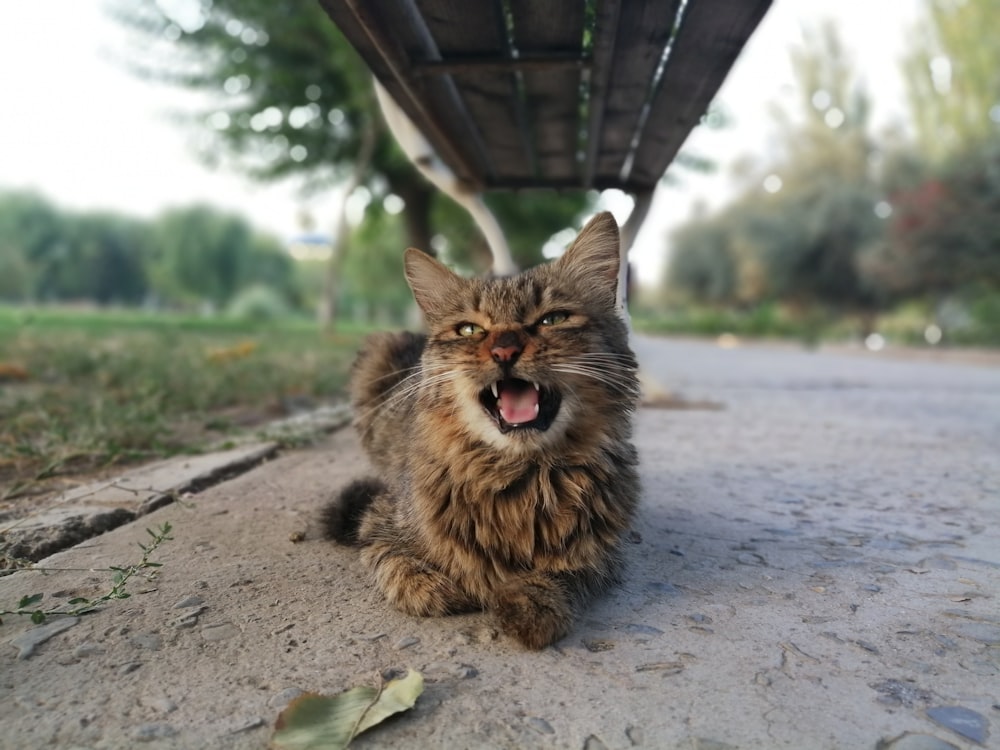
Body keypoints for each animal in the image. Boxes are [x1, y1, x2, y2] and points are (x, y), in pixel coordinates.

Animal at [320, 213, 640, 652]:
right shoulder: (379, 521)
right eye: (470, 330)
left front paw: (531, 602)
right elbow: (396, 562)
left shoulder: (604, 552)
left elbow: (565, 572)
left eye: (552, 319)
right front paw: (434, 584)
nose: (505, 350)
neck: (521, 478)